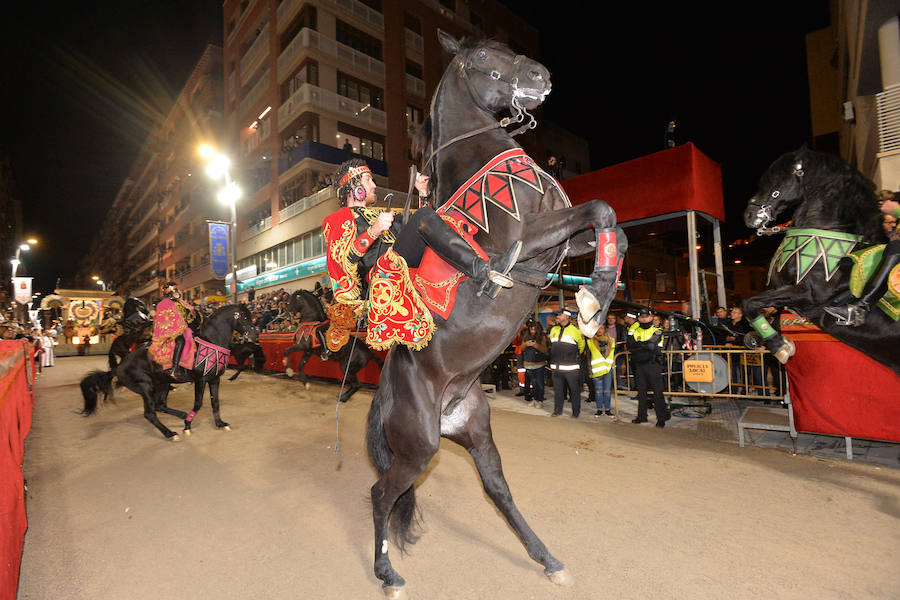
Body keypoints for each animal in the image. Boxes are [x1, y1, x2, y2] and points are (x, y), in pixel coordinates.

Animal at [79, 304, 258, 440]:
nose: (255, 335)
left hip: (162, 383)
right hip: (146, 387)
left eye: (250, 316)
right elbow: (198, 403)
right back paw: (170, 433)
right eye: (244, 317)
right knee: (150, 413)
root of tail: (119, 367)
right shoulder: (200, 379)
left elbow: (215, 403)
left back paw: (181, 415)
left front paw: (220, 424)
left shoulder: (214, 379)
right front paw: (187, 425)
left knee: (160, 405)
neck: (210, 341)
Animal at [362, 34, 624, 600]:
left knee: (497, 491)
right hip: (419, 447)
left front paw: (598, 294)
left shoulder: (565, 241)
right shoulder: (528, 237)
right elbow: (602, 209)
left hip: (477, 435)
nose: (540, 75)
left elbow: (611, 224)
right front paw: (594, 300)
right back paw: (387, 573)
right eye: (482, 58)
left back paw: (547, 558)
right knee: (381, 493)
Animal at [740, 146, 896, 376]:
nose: (749, 216)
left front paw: (779, 346)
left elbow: (749, 303)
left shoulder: (808, 295)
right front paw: (770, 341)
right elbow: (756, 307)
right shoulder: (784, 292)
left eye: (776, 181)